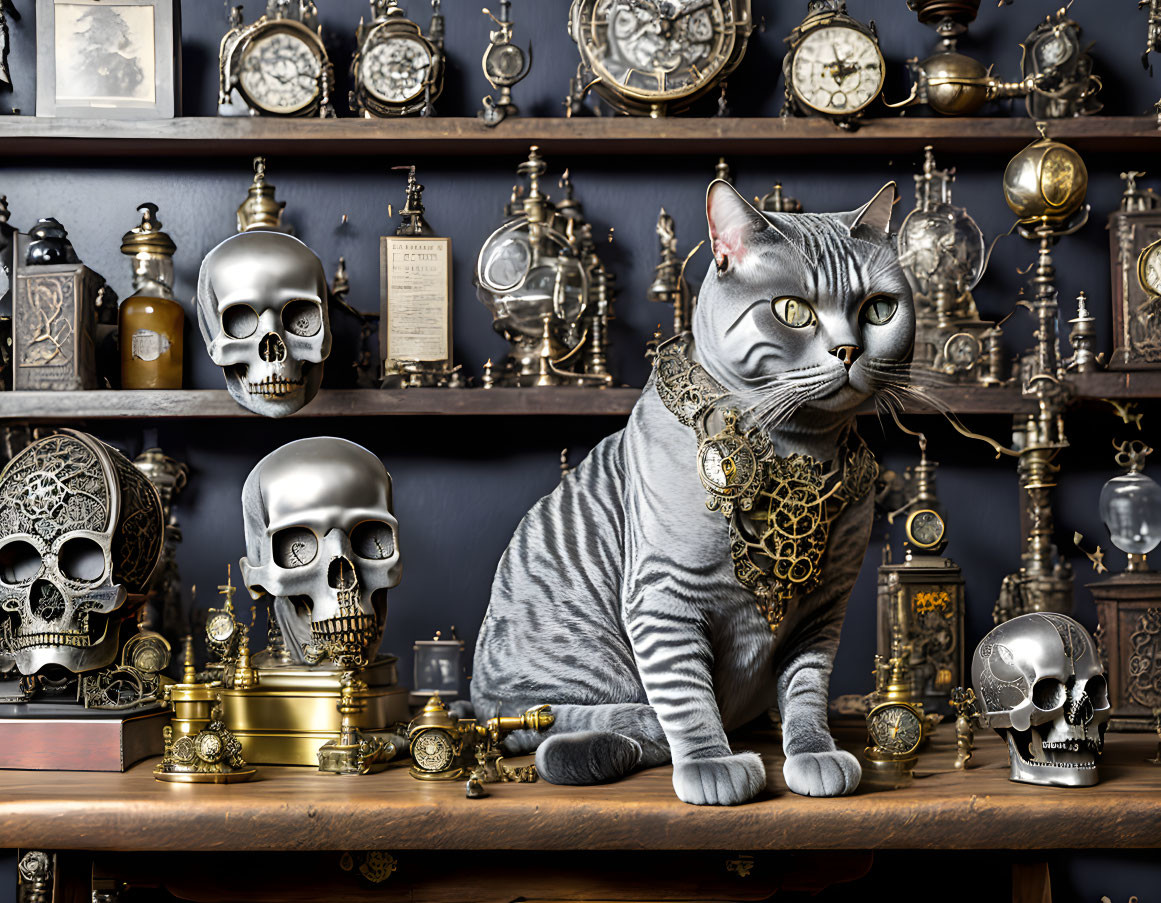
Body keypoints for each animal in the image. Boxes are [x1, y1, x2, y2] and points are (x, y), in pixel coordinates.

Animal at [466, 176, 910, 803]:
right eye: (792, 311)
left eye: (879, 309)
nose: (849, 351)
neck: (799, 452)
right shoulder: (664, 597)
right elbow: (687, 698)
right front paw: (711, 764)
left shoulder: (824, 609)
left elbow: (806, 693)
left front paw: (814, 752)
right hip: (562, 675)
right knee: (562, 721)